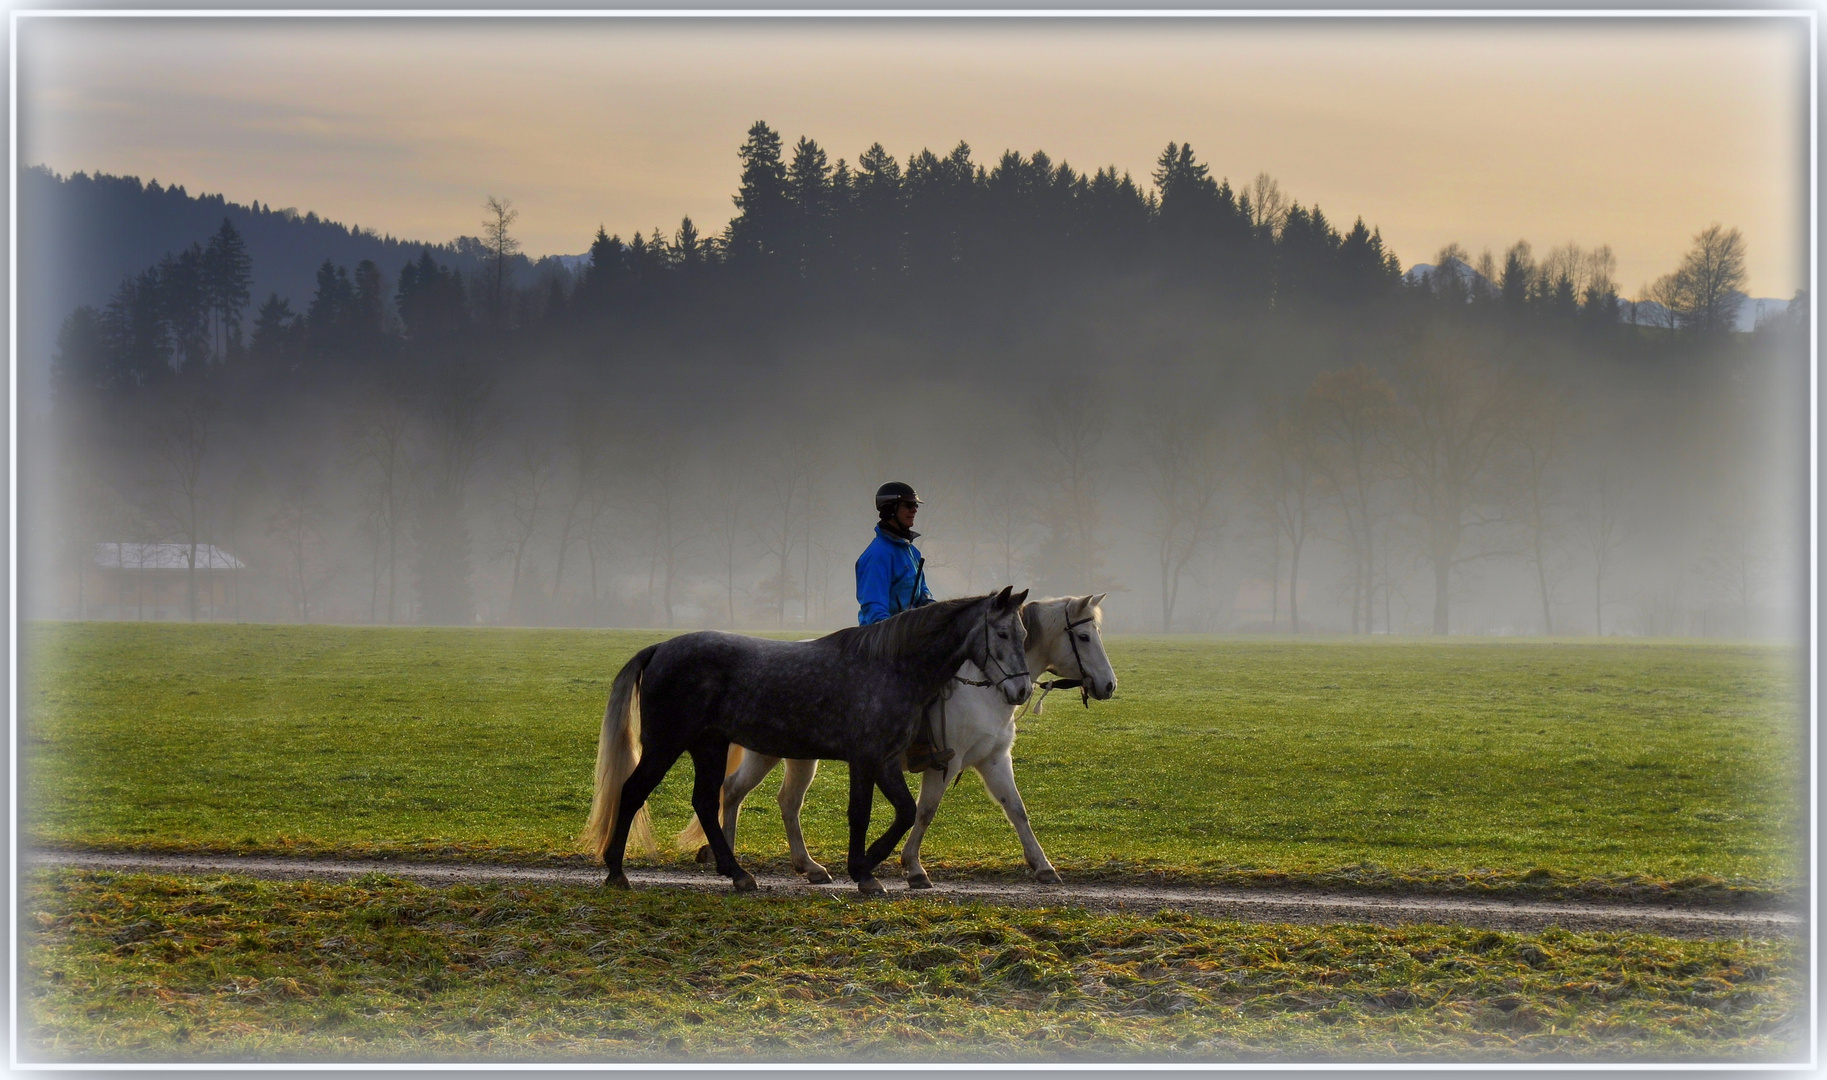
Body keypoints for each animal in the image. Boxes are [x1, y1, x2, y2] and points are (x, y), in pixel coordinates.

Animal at [580, 592, 1030, 895]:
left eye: (1024, 633)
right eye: (1002, 632)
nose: (1022, 690)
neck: (892, 666)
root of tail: (661, 648)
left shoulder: (885, 760)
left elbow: (905, 812)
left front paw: (868, 865)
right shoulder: (866, 759)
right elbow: (862, 814)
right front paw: (863, 870)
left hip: (711, 746)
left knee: (709, 801)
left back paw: (737, 872)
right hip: (666, 745)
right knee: (634, 791)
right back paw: (617, 871)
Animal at [679, 595, 1118, 891]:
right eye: (1083, 636)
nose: (1109, 685)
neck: (986, 686)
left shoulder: (994, 760)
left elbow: (1018, 810)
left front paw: (1043, 866)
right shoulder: (947, 762)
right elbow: (925, 811)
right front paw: (913, 869)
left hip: (795, 756)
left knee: (776, 799)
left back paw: (804, 866)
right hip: (770, 752)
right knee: (736, 791)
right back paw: (731, 857)